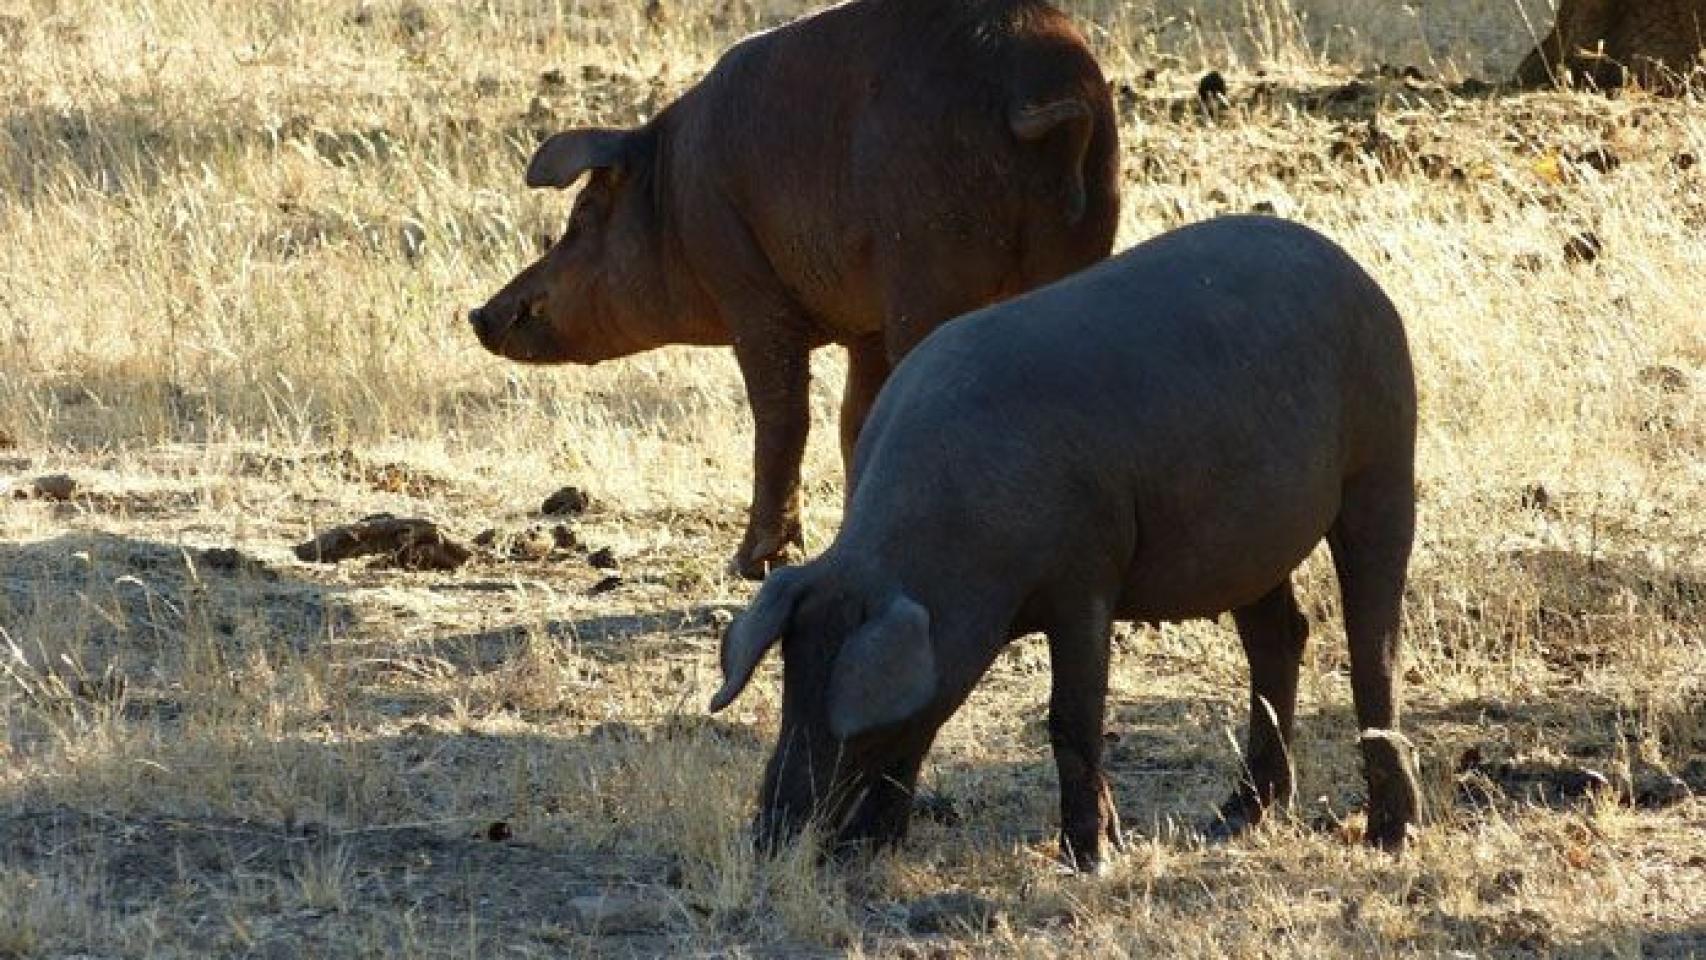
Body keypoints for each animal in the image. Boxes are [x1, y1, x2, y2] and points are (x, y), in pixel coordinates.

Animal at [466, 0, 1120, 579]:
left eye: (581, 215)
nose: (478, 314)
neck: (670, 198)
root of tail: (1032, 98)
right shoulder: (866, 323)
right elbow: (856, 417)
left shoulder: (747, 289)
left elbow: (783, 415)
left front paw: (752, 564)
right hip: (1078, 249)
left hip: (932, 268)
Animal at [708, 215, 1423, 872]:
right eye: (790, 687)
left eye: (860, 722)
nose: (769, 837)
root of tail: (1353, 272)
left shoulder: (1088, 576)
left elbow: (1071, 720)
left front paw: (1090, 859)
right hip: (1251, 545)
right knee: (1281, 635)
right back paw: (1233, 818)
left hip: (1384, 459)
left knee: (1374, 644)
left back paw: (1390, 836)